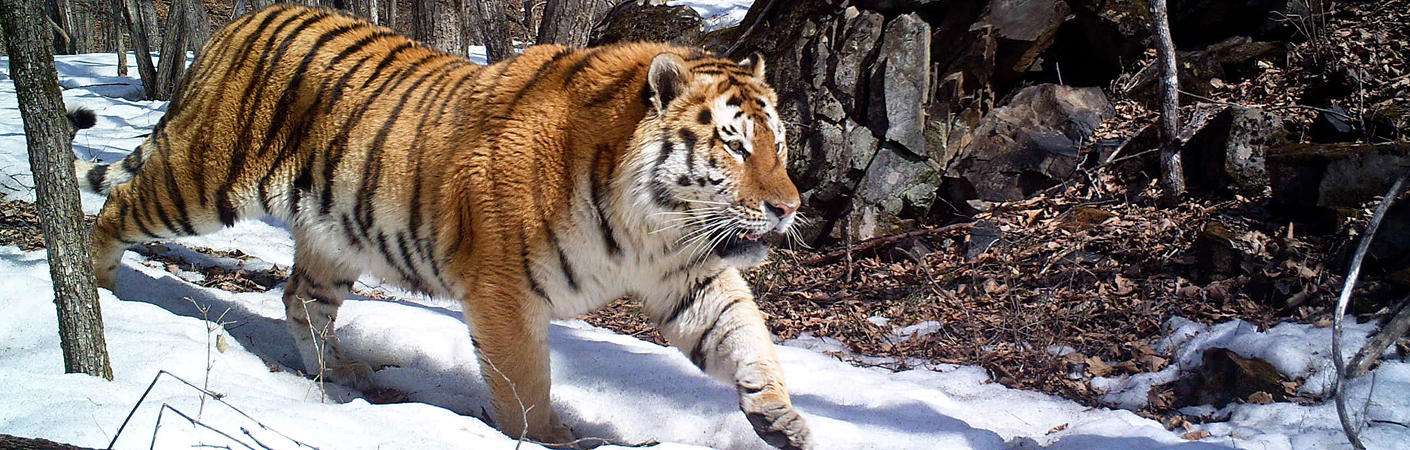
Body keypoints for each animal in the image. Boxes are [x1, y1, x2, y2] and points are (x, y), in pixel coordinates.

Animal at [71, 4, 812, 450]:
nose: (789, 207)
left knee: (300, 300)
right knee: (116, 208)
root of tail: (235, 24)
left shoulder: (688, 273)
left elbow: (745, 338)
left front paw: (779, 416)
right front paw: (547, 436)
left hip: (334, 235)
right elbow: (524, 382)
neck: (649, 225)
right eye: (734, 145)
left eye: (778, 144)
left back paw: (339, 377)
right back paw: (98, 288)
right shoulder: (504, 289)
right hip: (201, 178)